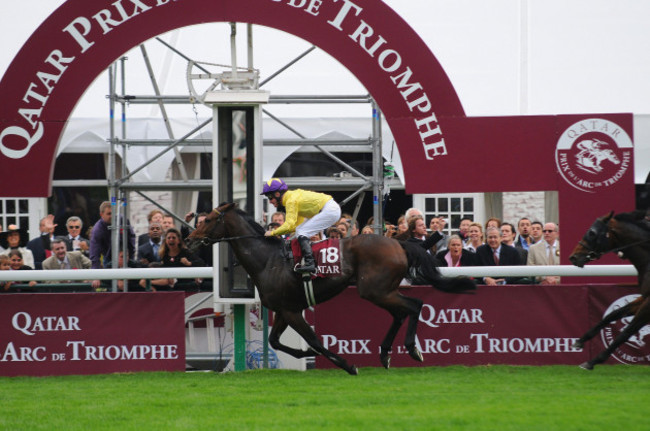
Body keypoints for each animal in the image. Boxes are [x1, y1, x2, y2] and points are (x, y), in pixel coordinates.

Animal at [185, 202, 474, 374]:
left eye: (208, 219)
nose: (189, 240)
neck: (268, 260)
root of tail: (399, 243)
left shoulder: (291, 311)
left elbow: (313, 339)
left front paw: (346, 364)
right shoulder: (284, 309)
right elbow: (274, 340)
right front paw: (304, 353)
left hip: (375, 290)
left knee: (414, 306)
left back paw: (412, 349)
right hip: (382, 290)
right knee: (402, 312)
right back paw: (384, 354)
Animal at [568, 211, 648, 370]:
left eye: (592, 232)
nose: (573, 257)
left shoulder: (649, 303)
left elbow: (627, 331)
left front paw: (593, 360)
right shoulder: (644, 296)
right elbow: (612, 315)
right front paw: (580, 340)